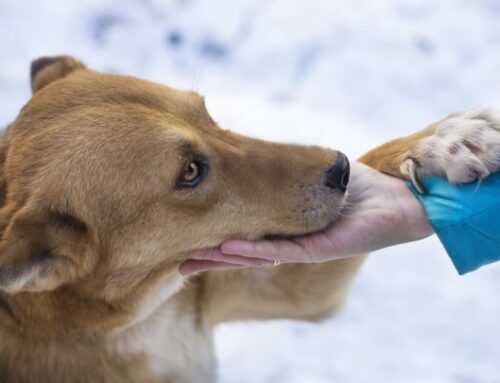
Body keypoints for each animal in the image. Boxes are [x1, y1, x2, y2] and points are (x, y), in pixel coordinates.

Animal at [0, 55, 498, 382]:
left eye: (207, 112)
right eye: (189, 172)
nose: (339, 169)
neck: (135, 322)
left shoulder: (290, 290)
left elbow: (375, 154)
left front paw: (440, 143)